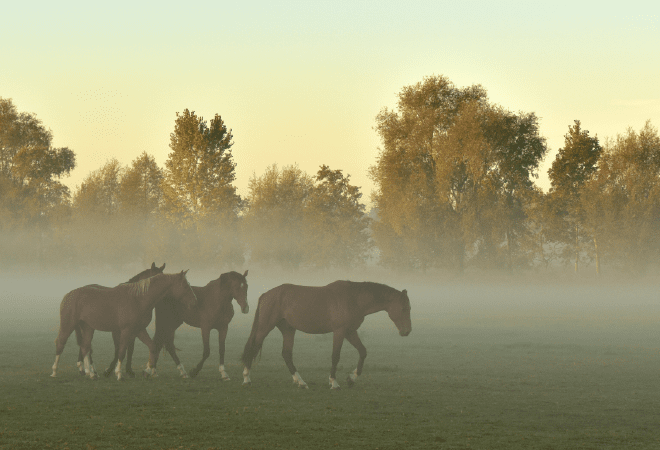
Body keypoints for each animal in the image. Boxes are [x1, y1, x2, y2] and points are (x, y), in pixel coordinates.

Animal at [51, 270, 196, 380]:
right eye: (185, 286)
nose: (194, 301)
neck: (138, 299)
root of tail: (69, 294)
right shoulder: (126, 331)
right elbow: (121, 352)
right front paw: (118, 373)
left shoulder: (139, 330)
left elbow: (152, 347)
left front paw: (149, 371)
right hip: (68, 325)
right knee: (60, 343)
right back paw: (54, 371)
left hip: (87, 327)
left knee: (85, 347)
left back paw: (92, 374)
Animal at [240, 282, 410, 390]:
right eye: (403, 308)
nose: (407, 331)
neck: (353, 298)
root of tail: (266, 295)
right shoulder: (340, 332)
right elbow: (335, 356)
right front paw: (334, 383)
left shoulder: (350, 332)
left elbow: (363, 352)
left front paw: (351, 378)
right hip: (265, 327)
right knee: (253, 348)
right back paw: (246, 378)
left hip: (288, 330)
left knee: (286, 354)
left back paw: (301, 382)